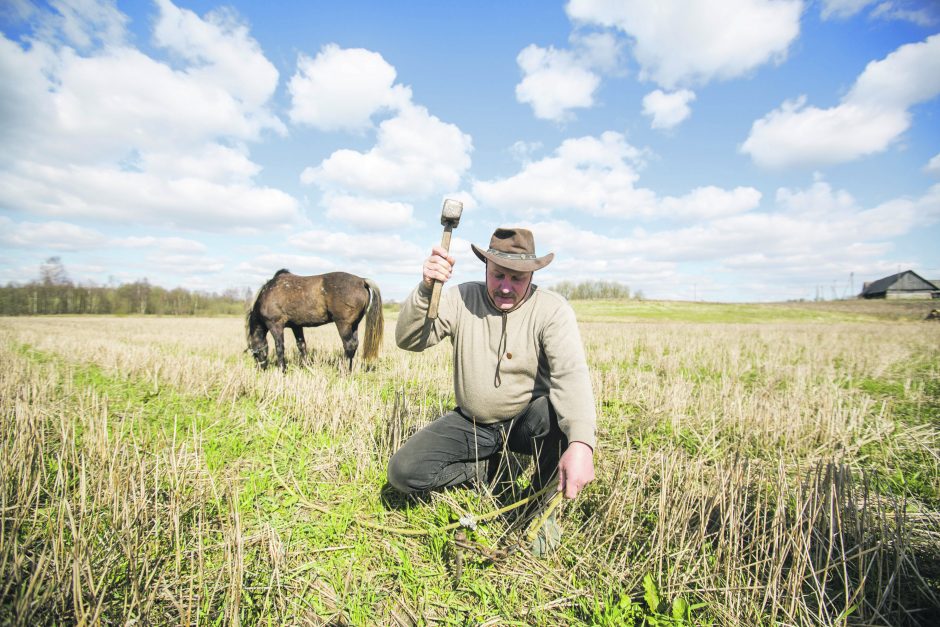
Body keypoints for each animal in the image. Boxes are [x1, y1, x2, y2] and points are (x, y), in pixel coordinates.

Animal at [248, 270, 388, 372]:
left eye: (255, 354)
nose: (261, 369)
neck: (268, 293)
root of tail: (361, 281)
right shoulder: (296, 326)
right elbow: (301, 346)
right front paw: (306, 366)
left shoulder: (275, 325)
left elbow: (279, 348)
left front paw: (282, 370)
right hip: (354, 325)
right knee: (354, 345)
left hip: (343, 324)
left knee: (349, 345)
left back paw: (343, 371)